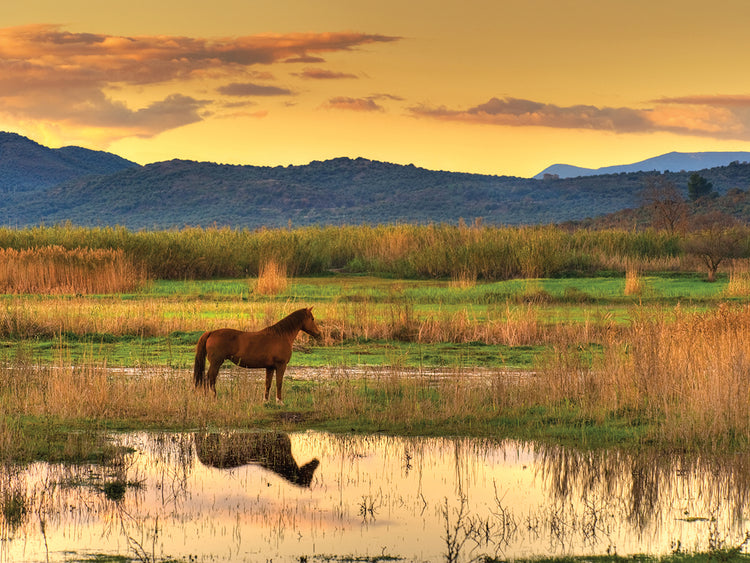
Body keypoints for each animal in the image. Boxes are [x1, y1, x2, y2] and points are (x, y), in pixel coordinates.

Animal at [193, 307, 322, 402]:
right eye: (312, 318)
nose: (318, 334)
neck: (281, 336)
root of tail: (211, 332)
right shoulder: (281, 365)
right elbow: (279, 383)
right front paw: (279, 401)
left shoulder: (270, 367)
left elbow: (268, 384)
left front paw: (266, 401)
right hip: (216, 363)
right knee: (210, 378)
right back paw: (213, 397)